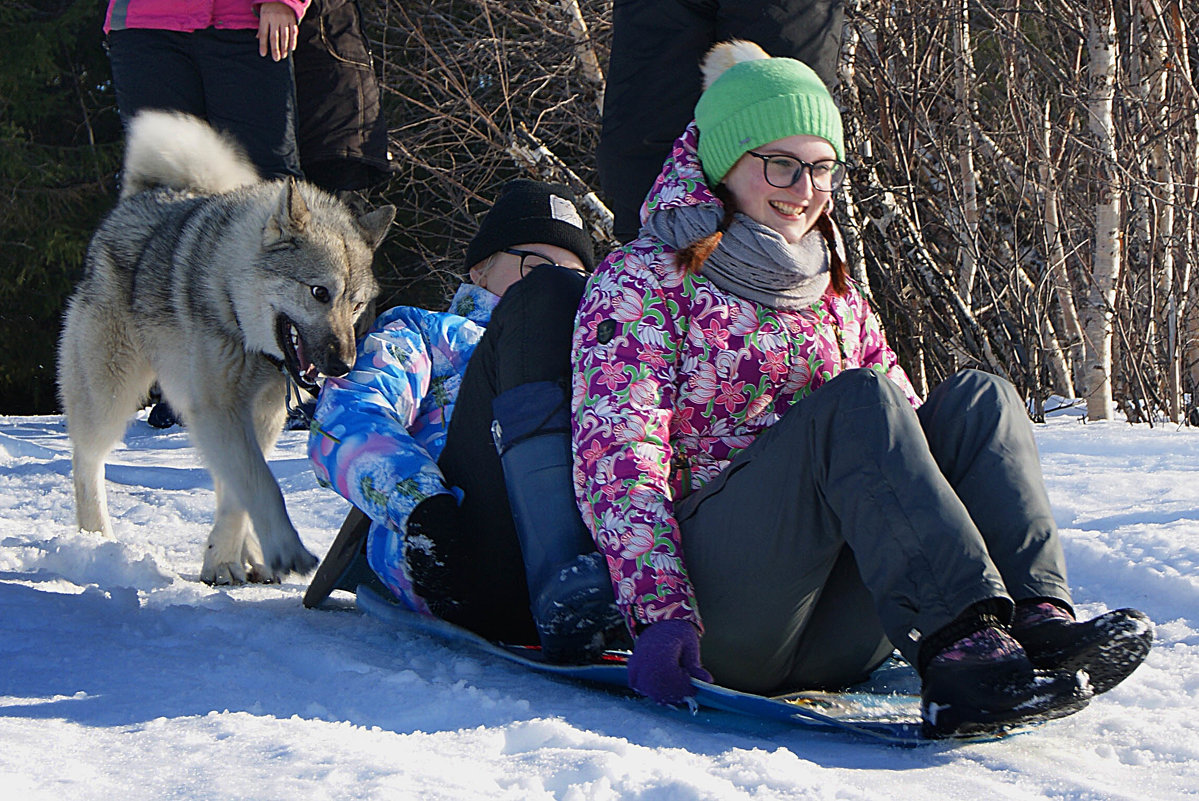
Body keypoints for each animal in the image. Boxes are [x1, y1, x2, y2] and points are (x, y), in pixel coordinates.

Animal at [59, 109, 393, 585]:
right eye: (319, 292)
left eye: (357, 304)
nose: (343, 365)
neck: (238, 313)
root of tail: (143, 196)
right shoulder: (220, 409)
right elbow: (261, 484)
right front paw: (278, 550)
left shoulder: (255, 415)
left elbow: (242, 490)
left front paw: (224, 558)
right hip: (108, 395)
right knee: (87, 461)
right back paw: (96, 540)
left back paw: (249, 555)